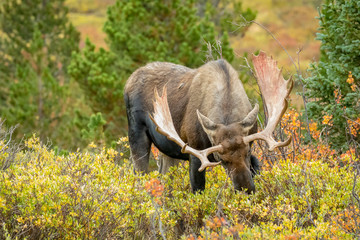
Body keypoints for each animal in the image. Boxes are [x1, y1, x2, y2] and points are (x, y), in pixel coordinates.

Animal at [124, 51, 292, 194]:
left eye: (248, 152)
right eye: (221, 159)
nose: (246, 189)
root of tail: (128, 81)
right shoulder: (195, 152)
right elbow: (198, 190)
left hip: (168, 150)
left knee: (164, 179)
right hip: (136, 133)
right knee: (140, 176)